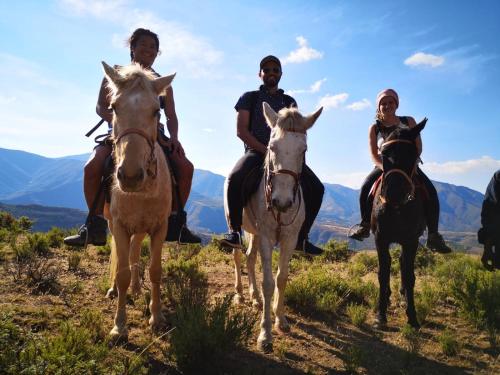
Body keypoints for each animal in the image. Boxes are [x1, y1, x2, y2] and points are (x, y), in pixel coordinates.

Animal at [99, 62, 176, 340]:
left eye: (156, 111)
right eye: (113, 107)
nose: (130, 176)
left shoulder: (159, 228)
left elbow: (155, 270)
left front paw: (157, 317)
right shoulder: (120, 226)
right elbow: (121, 271)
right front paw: (119, 326)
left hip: (141, 230)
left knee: (133, 253)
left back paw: (136, 288)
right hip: (112, 224)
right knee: (123, 259)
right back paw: (115, 290)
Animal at [228, 102, 324, 352]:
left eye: (304, 150)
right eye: (271, 147)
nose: (281, 201)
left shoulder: (289, 238)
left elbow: (282, 278)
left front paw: (280, 319)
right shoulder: (266, 238)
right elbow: (269, 283)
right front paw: (265, 335)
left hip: (252, 231)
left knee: (250, 258)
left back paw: (254, 298)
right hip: (237, 225)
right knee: (238, 256)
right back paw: (240, 294)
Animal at [370, 118, 428, 328]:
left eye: (413, 154)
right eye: (384, 153)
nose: (394, 193)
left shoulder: (411, 240)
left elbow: (409, 276)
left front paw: (412, 316)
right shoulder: (380, 239)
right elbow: (383, 273)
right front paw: (381, 315)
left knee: (403, 264)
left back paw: (403, 296)